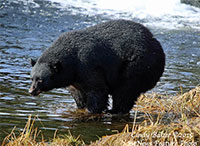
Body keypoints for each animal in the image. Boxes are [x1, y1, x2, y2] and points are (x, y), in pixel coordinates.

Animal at [28, 19, 165, 114]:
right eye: (32, 78)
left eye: (41, 80)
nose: (31, 91)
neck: (72, 62)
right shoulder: (74, 79)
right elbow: (78, 93)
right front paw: (81, 107)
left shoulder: (88, 65)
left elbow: (97, 89)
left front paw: (91, 110)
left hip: (136, 66)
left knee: (124, 90)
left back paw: (115, 111)